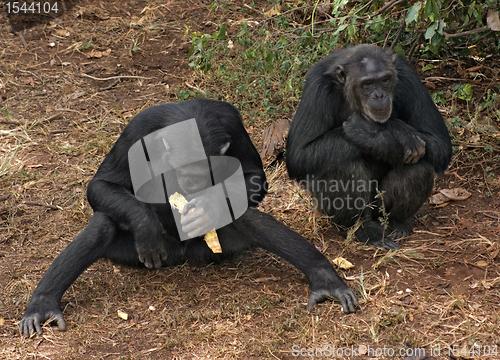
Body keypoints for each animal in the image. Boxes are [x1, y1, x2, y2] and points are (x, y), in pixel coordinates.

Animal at [18, 98, 356, 338]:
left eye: (204, 168)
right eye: (183, 168)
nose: (193, 181)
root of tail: (181, 255)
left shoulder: (233, 122)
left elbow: (253, 177)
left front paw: (207, 206)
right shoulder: (137, 130)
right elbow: (102, 184)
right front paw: (146, 224)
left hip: (215, 246)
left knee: (246, 217)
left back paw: (324, 277)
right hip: (130, 252)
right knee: (104, 223)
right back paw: (43, 303)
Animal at [286, 43, 454, 249]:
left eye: (384, 80)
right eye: (367, 84)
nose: (379, 95)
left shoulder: (409, 77)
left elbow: (439, 143)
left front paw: (376, 131)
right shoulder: (316, 88)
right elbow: (299, 154)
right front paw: (385, 134)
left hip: (379, 209)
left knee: (418, 166)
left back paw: (398, 223)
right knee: (340, 166)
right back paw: (362, 229)